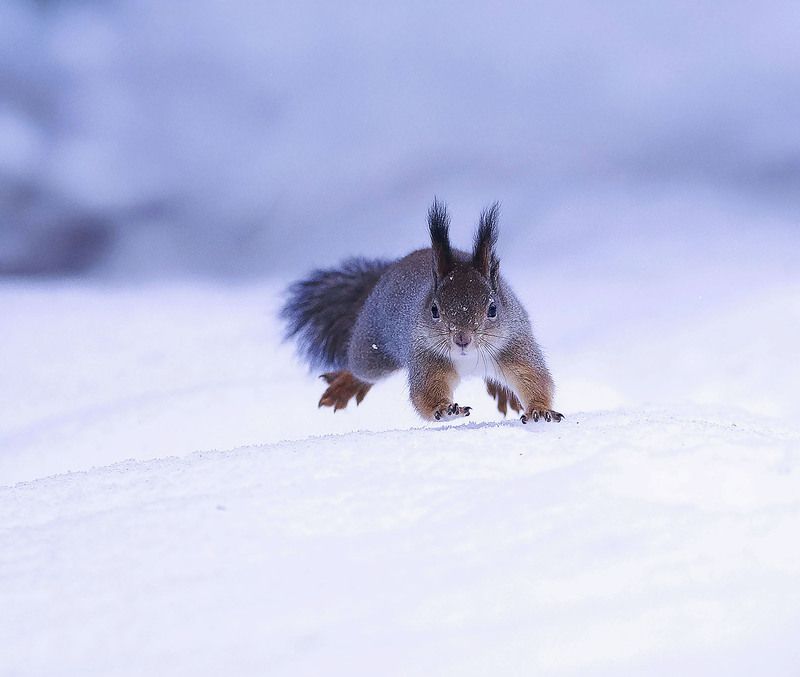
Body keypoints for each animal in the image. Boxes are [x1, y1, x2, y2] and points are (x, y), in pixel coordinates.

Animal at [282, 200, 562, 424]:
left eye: (493, 309)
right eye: (434, 310)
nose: (462, 339)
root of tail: (385, 276)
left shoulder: (515, 345)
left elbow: (535, 379)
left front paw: (539, 410)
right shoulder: (425, 355)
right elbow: (425, 394)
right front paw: (446, 409)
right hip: (372, 351)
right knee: (360, 368)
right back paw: (345, 385)